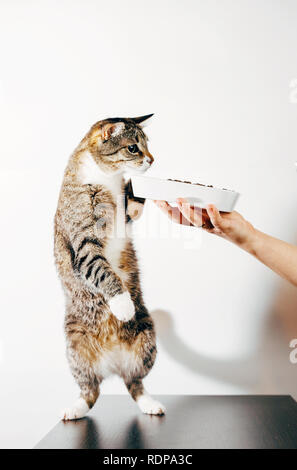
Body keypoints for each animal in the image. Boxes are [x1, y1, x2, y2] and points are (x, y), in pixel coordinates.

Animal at [53, 113, 164, 418]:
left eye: (147, 145)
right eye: (133, 148)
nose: (151, 160)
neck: (107, 179)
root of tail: (112, 364)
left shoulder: (127, 215)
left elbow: (132, 204)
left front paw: (136, 186)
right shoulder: (84, 245)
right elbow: (103, 271)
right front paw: (123, 304)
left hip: (146, 335)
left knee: (135, 382)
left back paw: (150, 404)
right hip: (75, 345)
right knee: (90, 390)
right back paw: (75, 409)